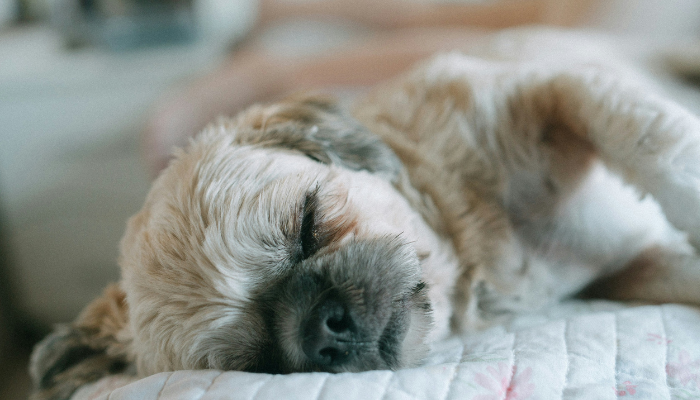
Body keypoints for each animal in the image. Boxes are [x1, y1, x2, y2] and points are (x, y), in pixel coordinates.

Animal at [31, 51, 700, 398]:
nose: (325, 327)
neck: (472, 246)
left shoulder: (546, 91)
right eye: (260, 358)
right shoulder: (637, 270)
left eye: (307, 224)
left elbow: (659, 145)